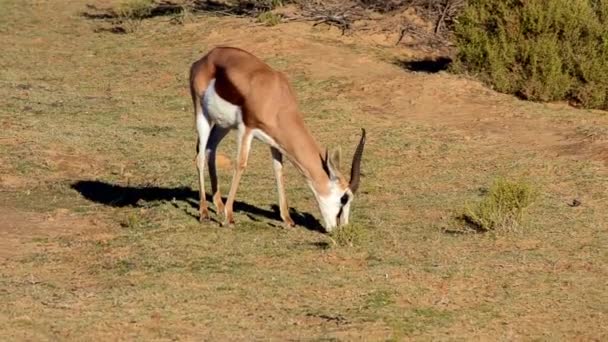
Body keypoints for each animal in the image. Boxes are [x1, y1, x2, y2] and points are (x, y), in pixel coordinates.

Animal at [188, 46, 364, 232]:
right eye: (344, 198)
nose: (341, 229)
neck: (276, 98)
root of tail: (205, 58)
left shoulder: (275, 141)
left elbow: (278, 170)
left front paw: (287, 220)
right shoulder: (246, 129)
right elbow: (240, 165)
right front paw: (229, 218)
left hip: (224, 124)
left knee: (210, 149)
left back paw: (219, 206)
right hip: (202, 115)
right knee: (199, 157)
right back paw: (204, 213)